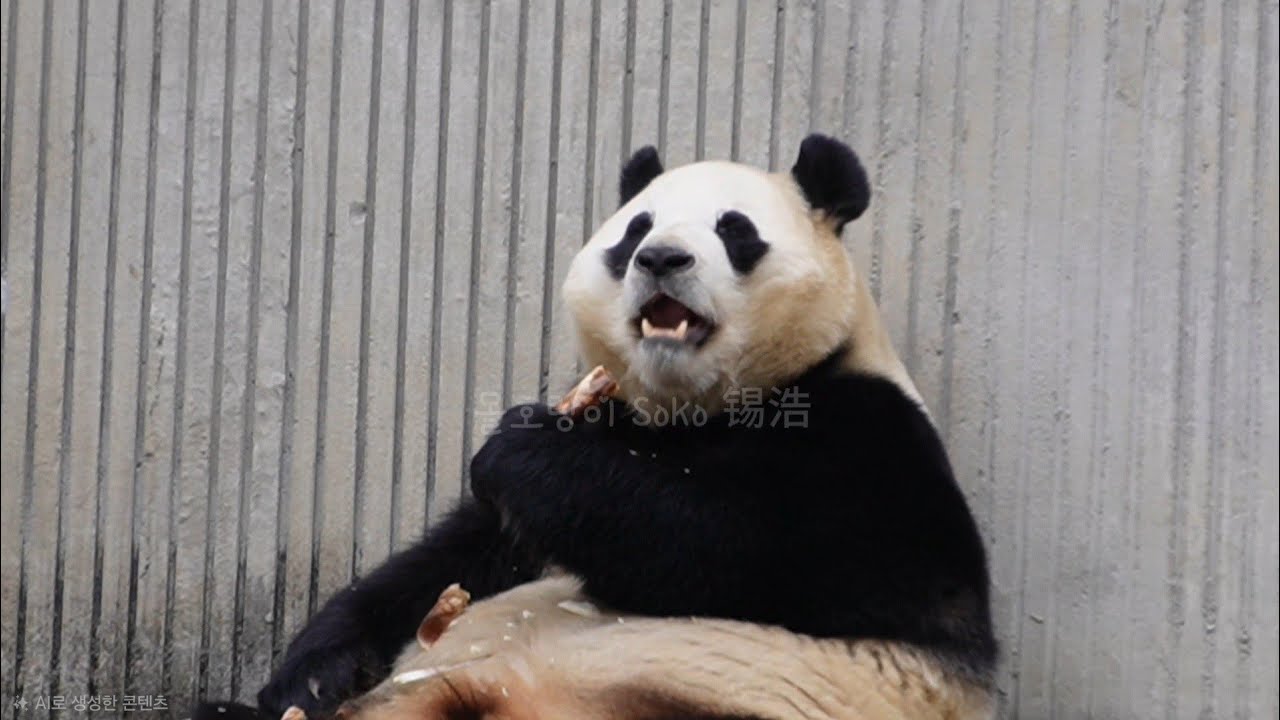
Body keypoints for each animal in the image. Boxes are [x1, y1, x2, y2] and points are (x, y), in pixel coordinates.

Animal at [197, 134, 996, 720]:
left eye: (734, 230)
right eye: (635, 228)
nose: (661, 258)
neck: (693, 409)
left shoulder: (871, 441)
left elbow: (743, 542)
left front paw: (520, 445)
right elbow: (449, 559)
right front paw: (309, 675)